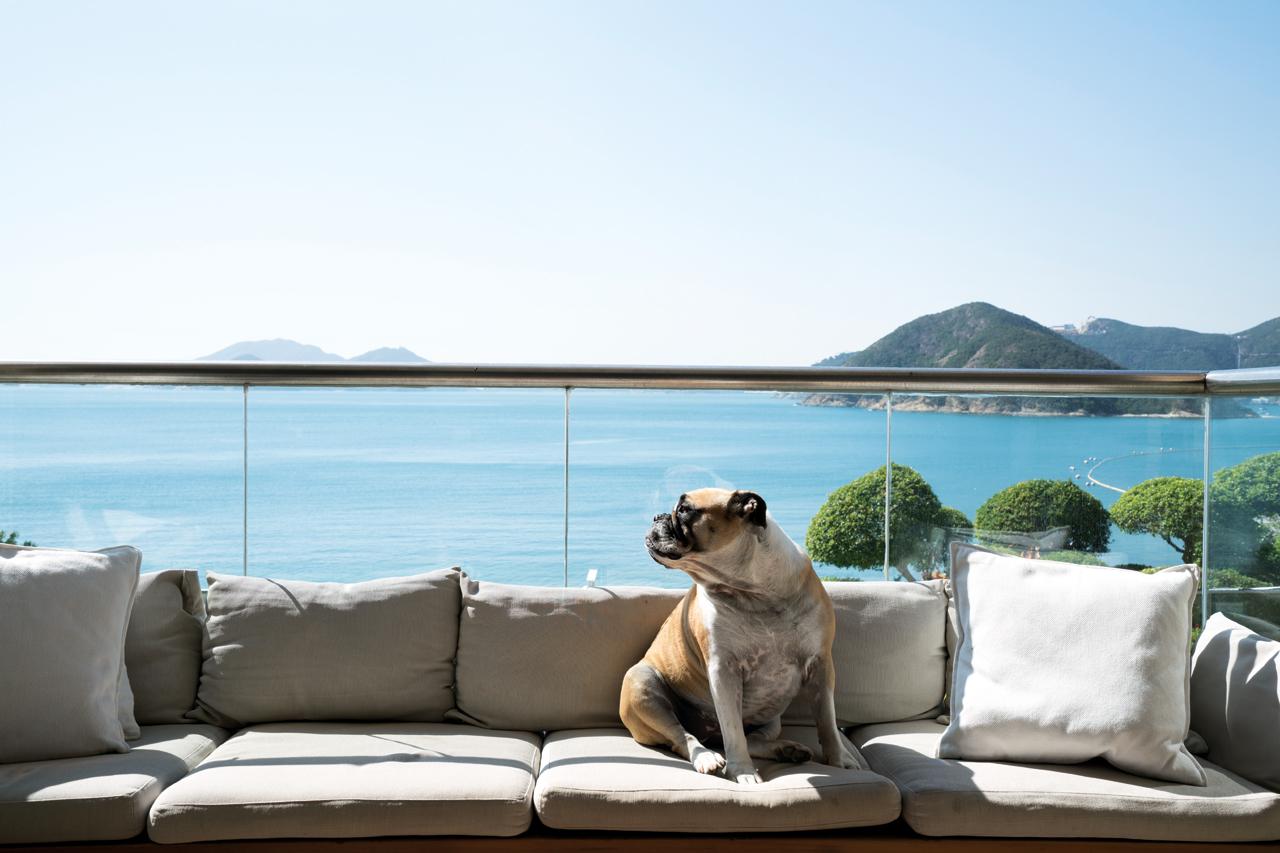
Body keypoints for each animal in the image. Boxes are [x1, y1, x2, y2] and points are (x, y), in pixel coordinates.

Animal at [622, 484, 870, 783]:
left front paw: (839, 759)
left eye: (684, 510)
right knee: (681, 736)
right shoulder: (724, 672)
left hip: (772, 719)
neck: (753, 590)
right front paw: (743, 771)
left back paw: (786, 750)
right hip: (641, 684)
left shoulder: (821, 665)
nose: (657, 516)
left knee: (754, 738)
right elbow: (733, 732)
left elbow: (827, 720)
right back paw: (706, 757)